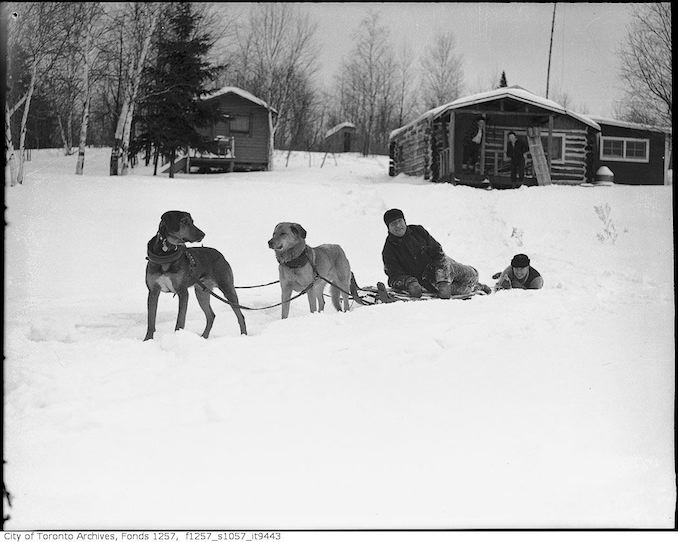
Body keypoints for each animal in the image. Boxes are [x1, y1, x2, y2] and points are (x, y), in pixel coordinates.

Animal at [145, 211, 248, 340]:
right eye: (184, 221)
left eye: (192, 221)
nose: (203, 234)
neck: (166, 252)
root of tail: (220, 254)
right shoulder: (153, 292)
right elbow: (151, 320)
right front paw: (147, 340)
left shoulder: (182, 292)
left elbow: (180, 320)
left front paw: (178, 337)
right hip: (201, 291)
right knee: (211, 316)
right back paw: (203, 337)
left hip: (227, 287)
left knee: (240, 315)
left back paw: (244, 335)